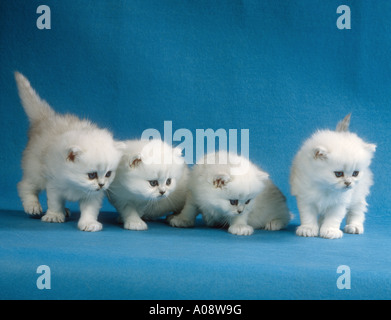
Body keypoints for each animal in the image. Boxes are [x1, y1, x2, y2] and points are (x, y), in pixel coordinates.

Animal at [15, 72, 123, 232]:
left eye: (108, 174)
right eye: (92, 175)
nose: (102, 185)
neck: (74, 182)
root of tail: (46, 120)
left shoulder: (92, 195)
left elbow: (90, 209)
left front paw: (88, 223)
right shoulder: (54, 183)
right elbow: (54, 201)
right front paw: (54, 215)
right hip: (35, 170)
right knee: (24, 185)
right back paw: (32, 206)